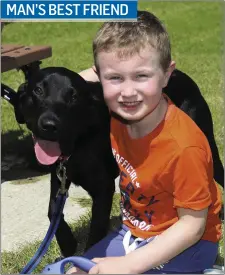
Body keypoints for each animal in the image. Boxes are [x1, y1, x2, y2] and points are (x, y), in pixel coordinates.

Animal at [4, 67, 223, 258]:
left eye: (74, 97)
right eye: (38, 91)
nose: (49, 125)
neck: (79, 142)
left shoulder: (103, 188)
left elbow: (97, 227)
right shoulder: (59, 176)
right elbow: (52, 210)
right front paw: (68, 243)